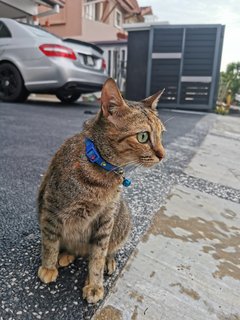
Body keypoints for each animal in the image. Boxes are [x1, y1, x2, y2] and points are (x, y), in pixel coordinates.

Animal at [37, 78, 165, 302]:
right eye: (143, 137)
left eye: (160, 135)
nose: (163, 154)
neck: (100, 167)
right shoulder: (52, 207)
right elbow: (50, 241)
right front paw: (49, 266)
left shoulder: (106, 218)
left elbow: (98, 254)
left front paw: (95, 284)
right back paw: (66, 255)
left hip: (122, 217)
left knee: (105, 250)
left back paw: (107, 261)